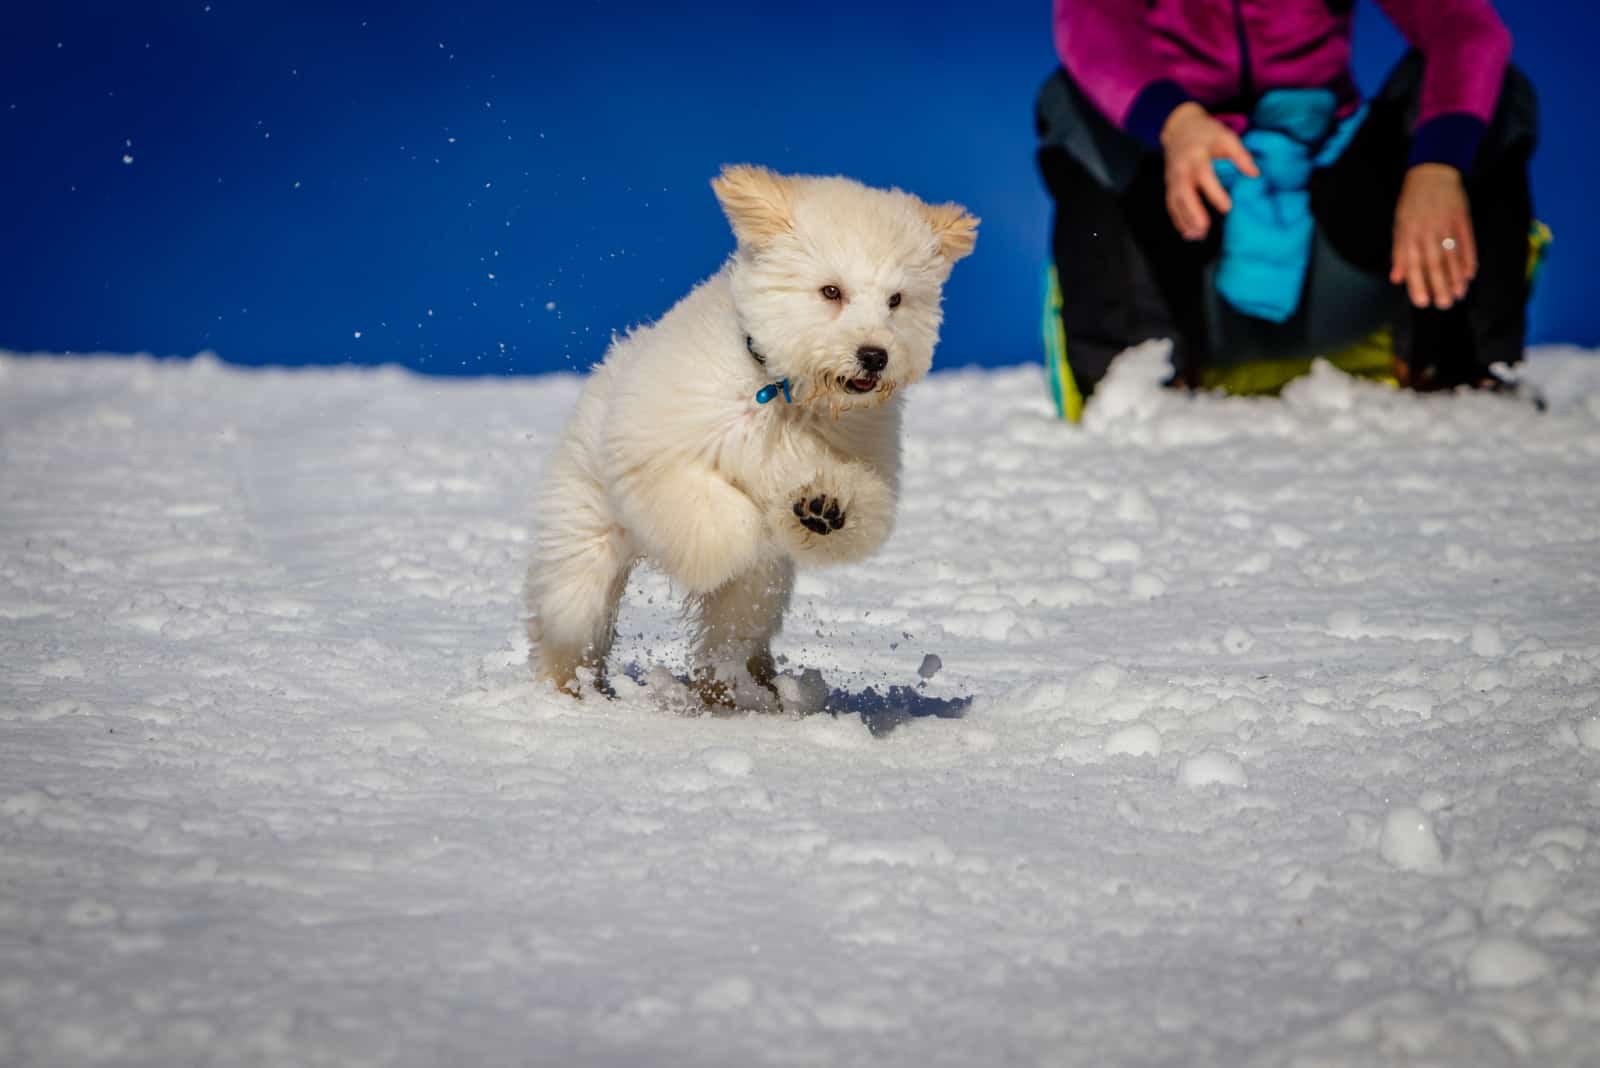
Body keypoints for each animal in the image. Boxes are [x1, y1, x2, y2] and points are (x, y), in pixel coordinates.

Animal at [528, 163, 972, 703]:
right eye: (831, 291)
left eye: (896, 300)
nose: (874, 356)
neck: (781, 392)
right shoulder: (659, 455)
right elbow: (720, 515)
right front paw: (747, 532)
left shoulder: (862, 458)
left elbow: (858, 507)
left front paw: (823, 507)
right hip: (584, 549)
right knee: (572, 619)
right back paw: (566, 689)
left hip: (754, 602)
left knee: (729, 637)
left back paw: (738, 688)